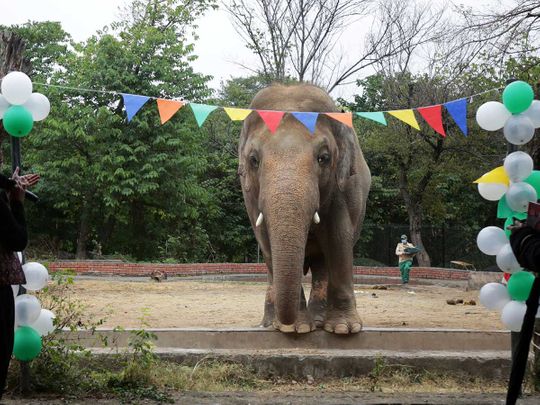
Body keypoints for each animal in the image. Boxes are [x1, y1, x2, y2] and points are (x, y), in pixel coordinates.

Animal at [239, 83, 372, 334]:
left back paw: (319, 321)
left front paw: (343, 329)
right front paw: (295, 329)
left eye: (324, 157)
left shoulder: (345, 186)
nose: (287, 322)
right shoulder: (249, 193)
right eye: (253, 160)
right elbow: (265, 240)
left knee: (322, 264)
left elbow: (338, 237)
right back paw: (269, 325)